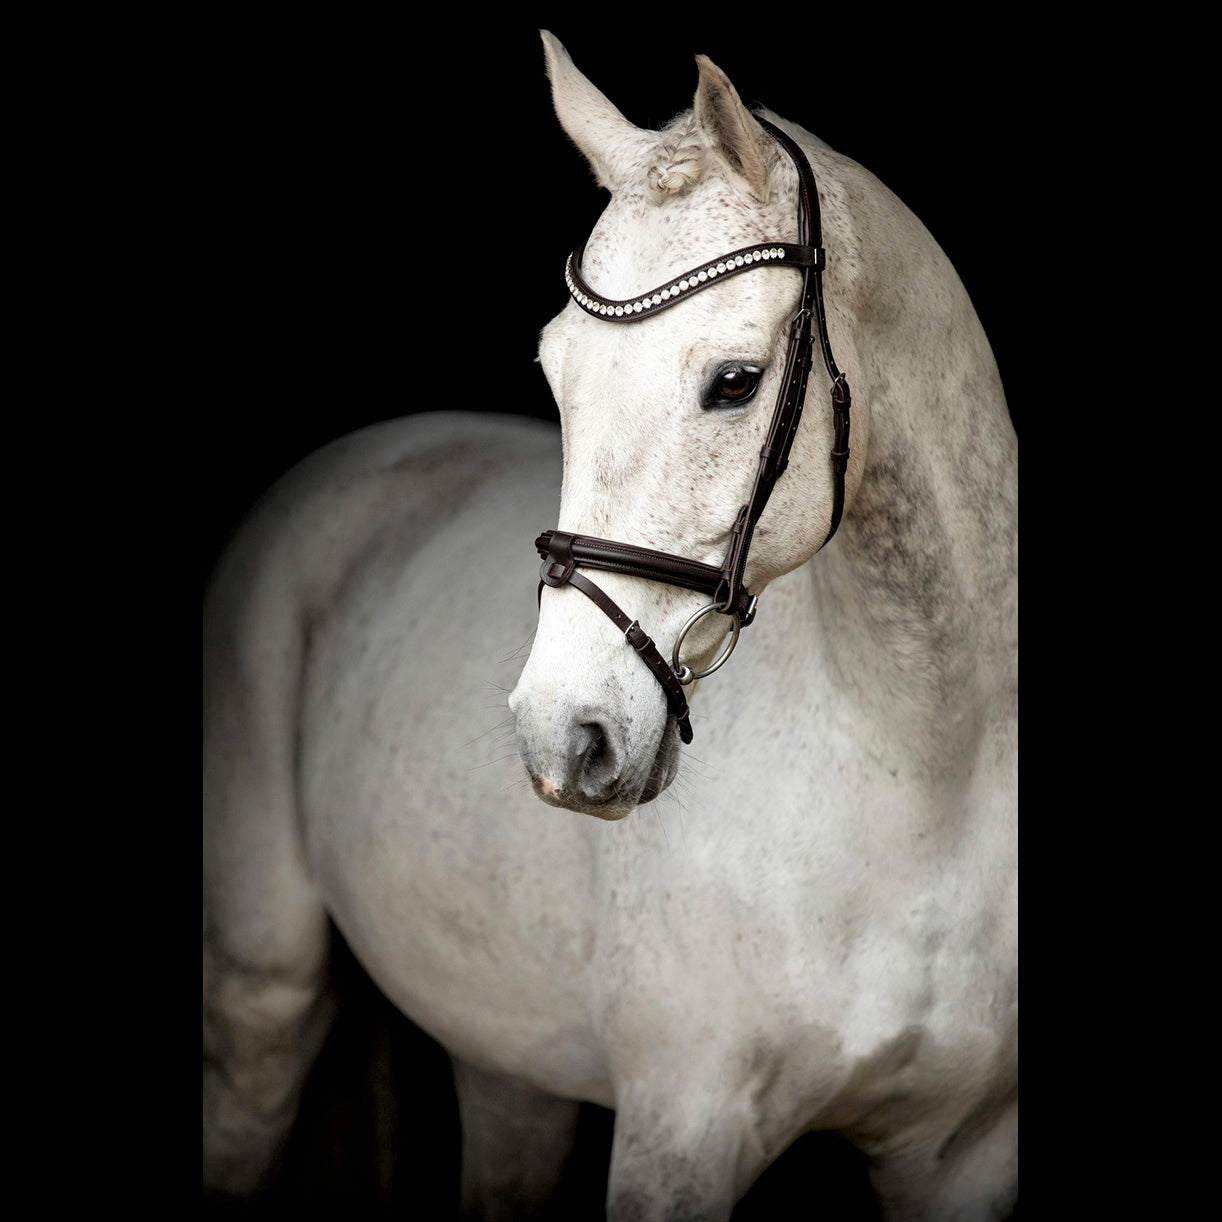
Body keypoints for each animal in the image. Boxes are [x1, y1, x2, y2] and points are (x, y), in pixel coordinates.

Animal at [203, 31, 1018, 1220]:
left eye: (735, 382)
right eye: (556, 373)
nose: (565, 735)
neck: (927, 780)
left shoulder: (963, 1153)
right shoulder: (681, 1129)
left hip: (509, 1066)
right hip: (261, 998)